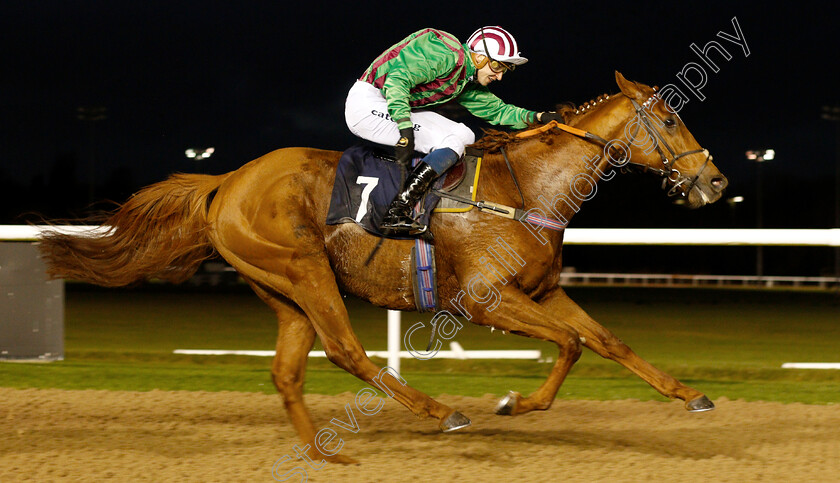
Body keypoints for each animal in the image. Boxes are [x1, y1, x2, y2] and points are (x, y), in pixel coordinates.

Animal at [39, 71, 724, 462]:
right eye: (669, 119)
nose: (713, 182)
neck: (524, 187)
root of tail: (226, 181)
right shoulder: (487, 299)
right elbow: (572, 345)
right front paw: (512, 402)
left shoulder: (543, 290)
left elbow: (606, 339)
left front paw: (690, 395)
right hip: (304, 269)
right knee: (346, 352)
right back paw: (441, 412)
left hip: (280, 289)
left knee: (288, 371)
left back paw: (326, 457)